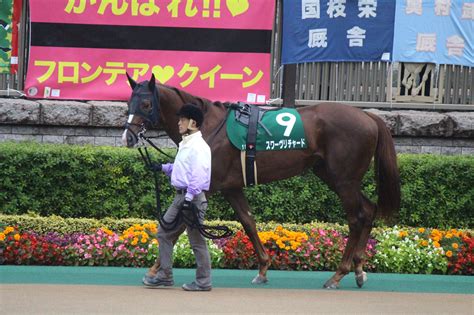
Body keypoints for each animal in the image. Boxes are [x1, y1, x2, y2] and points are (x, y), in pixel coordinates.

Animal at [122, 75, 400, 290]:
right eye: (128, 102)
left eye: (145, 103)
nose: (128, 136)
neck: (208, 127)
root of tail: (370, 117)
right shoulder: (231, 187)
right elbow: (248, 221)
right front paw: (263, 269)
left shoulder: (207, 185)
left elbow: (178, 225)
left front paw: (154, 270)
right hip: (334, 176)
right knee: (369, 210)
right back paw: (359, 270)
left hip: (344, 180)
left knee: (356, 218)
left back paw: (338, 275)